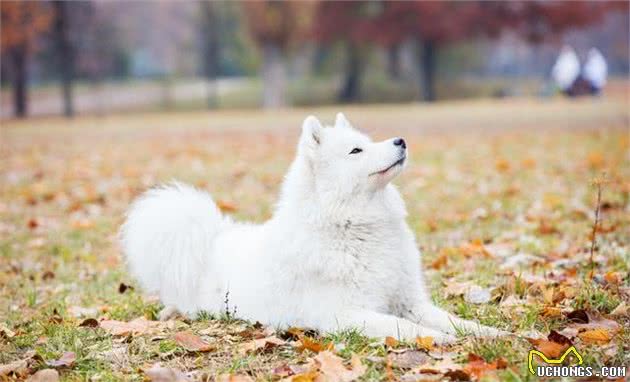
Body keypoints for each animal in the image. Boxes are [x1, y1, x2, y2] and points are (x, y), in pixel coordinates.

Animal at [122, 113, 504, 344]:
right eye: (356, 150)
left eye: (369, 140)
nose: (401, 140)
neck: (353, 226)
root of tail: (212, 238)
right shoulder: (345, 313)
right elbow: (405, 327)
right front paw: (440, 340)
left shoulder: (409, 300)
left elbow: (451, 319)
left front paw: (491, 333)